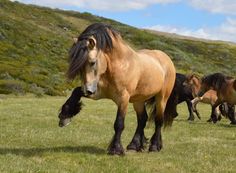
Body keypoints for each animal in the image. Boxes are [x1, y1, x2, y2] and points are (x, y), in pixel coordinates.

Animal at [57, 22, 175, 155]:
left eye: (92, 62)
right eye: (80, 66)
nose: (88, 90)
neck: (120, 65)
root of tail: (166, 58)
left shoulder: (123, 98)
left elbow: (119, 123)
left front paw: (116, 149)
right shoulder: (99, 93)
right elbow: (76, 91)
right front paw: (65, 116)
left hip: (162, 98)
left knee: (158, 120)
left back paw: (154, 146)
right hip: (138, 100)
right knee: (142, 119)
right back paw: (134, 145)